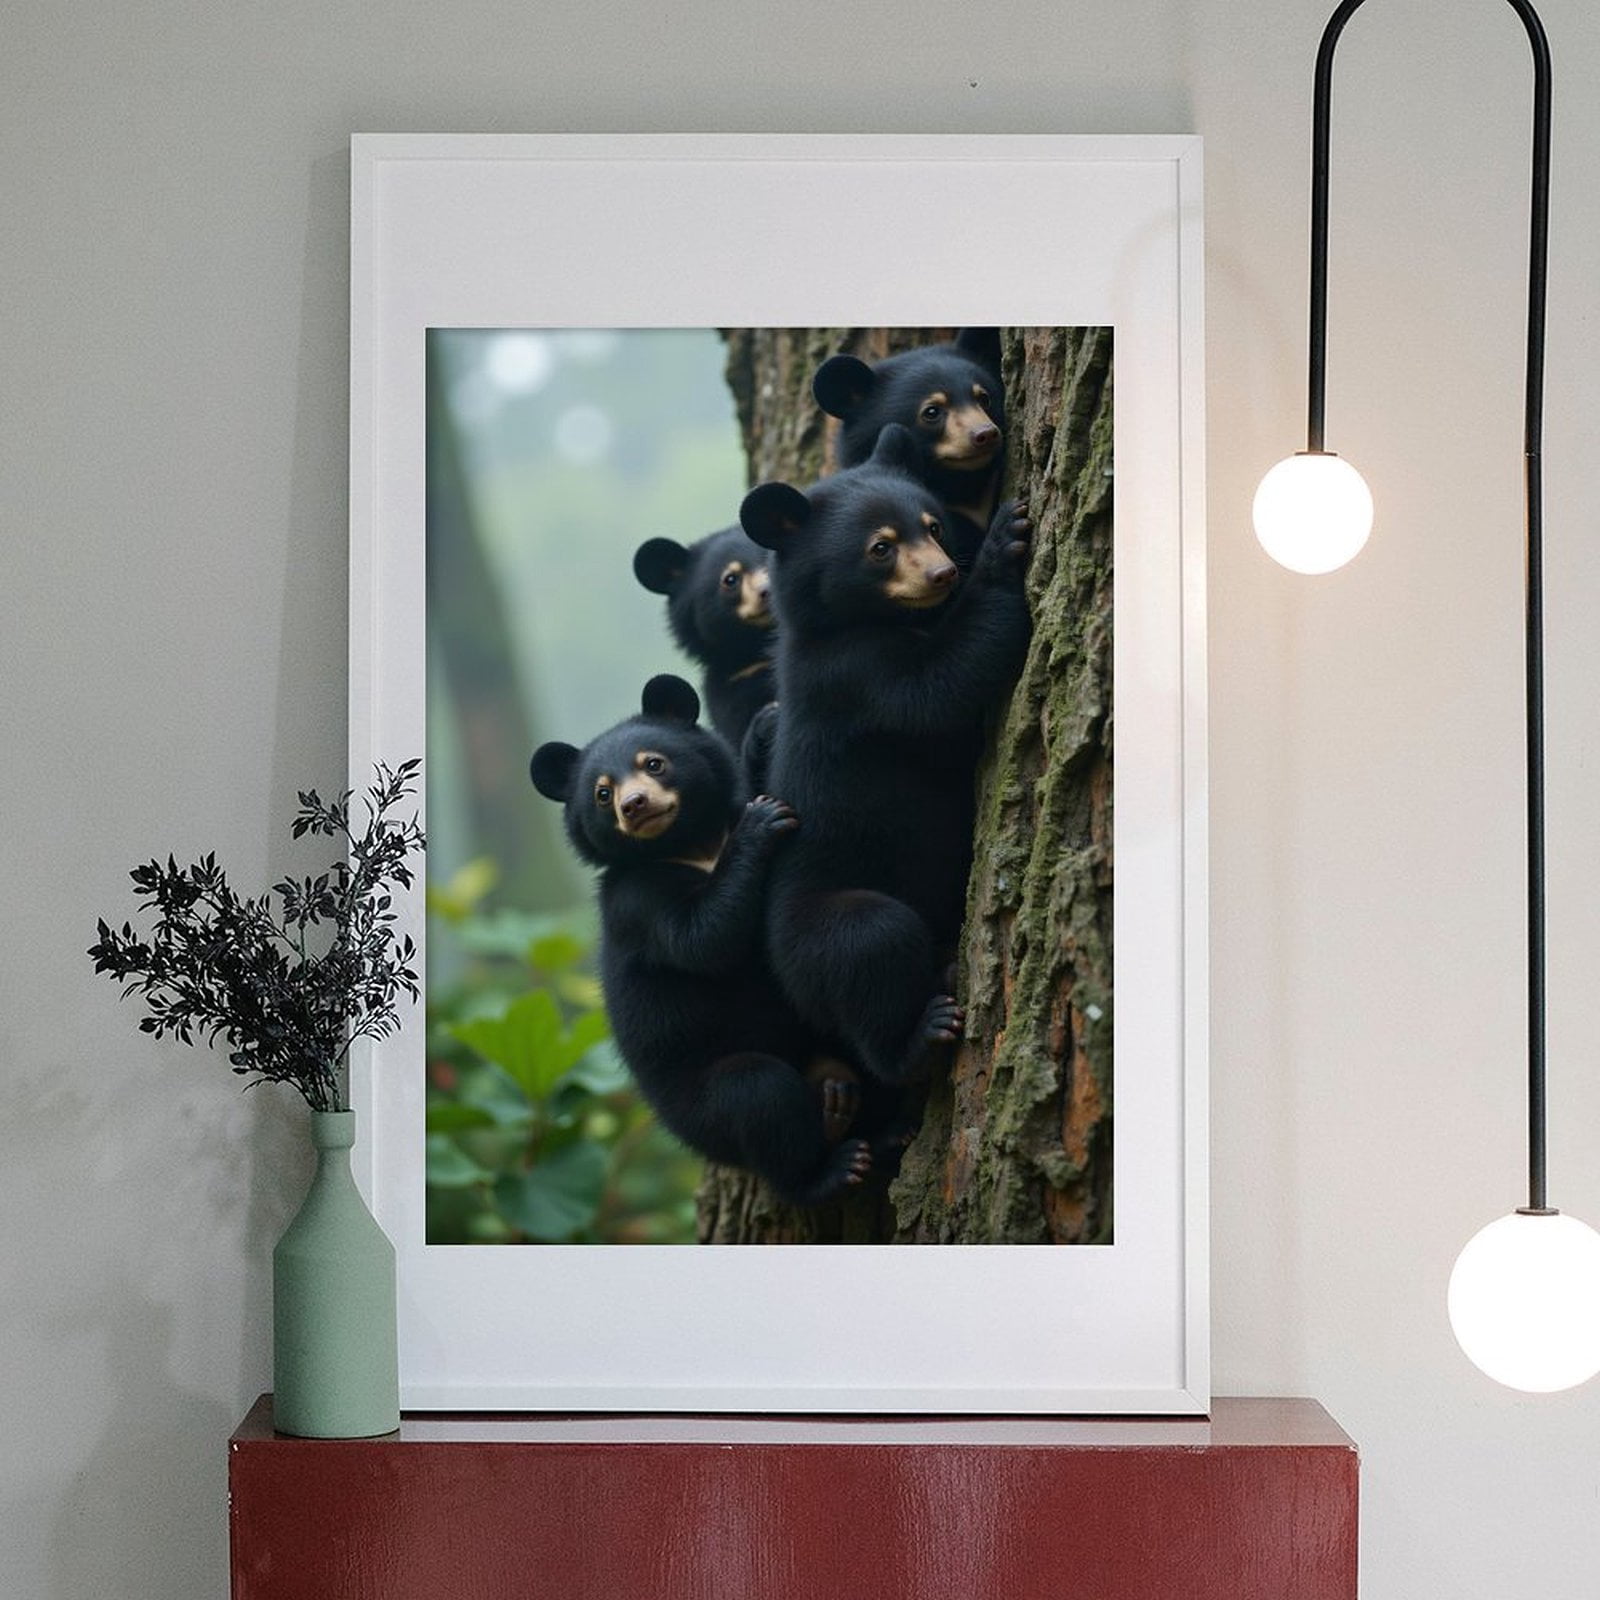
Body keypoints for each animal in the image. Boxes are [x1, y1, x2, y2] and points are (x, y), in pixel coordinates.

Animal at [529, 673, 875, 1206]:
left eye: (654, 762)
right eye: (602, 793)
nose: (635, 806)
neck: (693, 845)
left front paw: (767, 726)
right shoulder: (634, 900)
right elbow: (704, 938)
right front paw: (761, 824)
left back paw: (841, 1103)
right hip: (703, 1103)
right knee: (759, 1095)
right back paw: (829, 1167)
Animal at [739, 423, 1032, 1090]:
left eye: (934, 525)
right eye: (880, 548)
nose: (945, 574)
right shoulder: (852, 677)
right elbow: (940, 686)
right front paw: (1005, 541)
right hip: (827, 926)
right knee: (873, 945)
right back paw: (919, 1038)